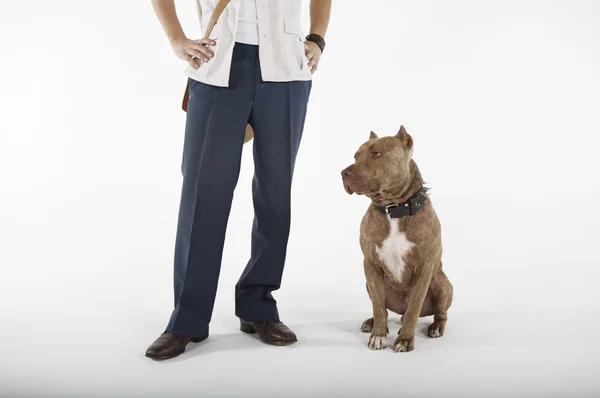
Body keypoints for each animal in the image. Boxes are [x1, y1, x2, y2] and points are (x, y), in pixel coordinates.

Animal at [340, 125, 452, 352]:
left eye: (376, 154)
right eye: (355, 156)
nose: (343, 173)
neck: (394, 209)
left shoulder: (424, 268)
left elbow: (413, 310)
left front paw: (405, 340)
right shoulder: (371, 265)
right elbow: (378, 305)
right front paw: (378, 335)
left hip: (441, 281)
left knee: (438, 312)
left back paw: (436, 327)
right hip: (371, 282)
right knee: (382, 308)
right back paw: (373, 322)